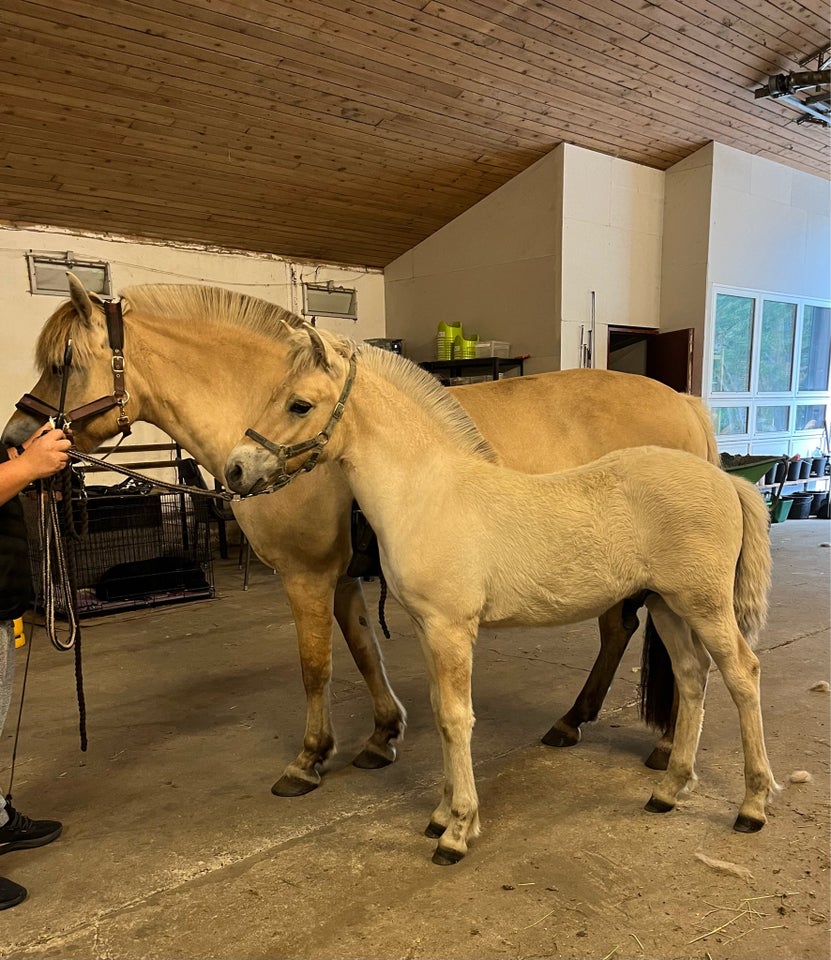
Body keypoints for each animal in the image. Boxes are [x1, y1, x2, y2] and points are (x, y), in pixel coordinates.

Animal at [3, 276, 720, 796]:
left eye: (62, 362)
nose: (16, 440)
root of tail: (684, 404)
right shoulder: (344, 575)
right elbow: (362, 651)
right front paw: (381, 737)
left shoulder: (307, 574)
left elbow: (315, 667)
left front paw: (308, 759)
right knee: (620, 633)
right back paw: (575, 721)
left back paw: (662, 745)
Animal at [223, 326, 780, 868]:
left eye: (299, 404)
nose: (234, 471)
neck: (427, 492)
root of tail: (726, 481)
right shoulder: (428, 629)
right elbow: (439, 711)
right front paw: (441, 815)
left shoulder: (450, 628)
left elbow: (455, 718)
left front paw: (457, 832)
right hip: (668, 605)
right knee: (691, 677)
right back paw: (668, 790)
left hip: (704, 606)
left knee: (742, 674)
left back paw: (752, 805)